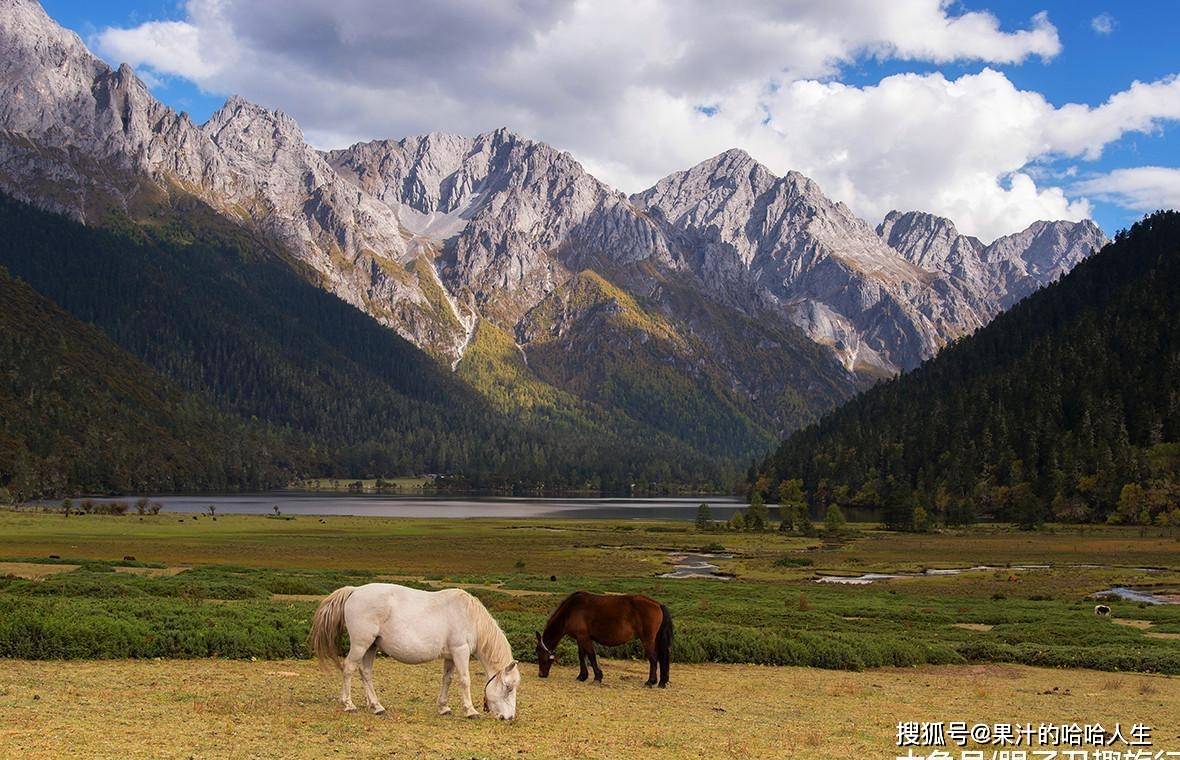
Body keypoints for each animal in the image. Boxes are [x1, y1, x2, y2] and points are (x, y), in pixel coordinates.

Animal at [311, 585, 519, 722]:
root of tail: (355, 591)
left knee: (366, 672)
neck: (468, 615)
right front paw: (470, 710)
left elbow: (447, 679)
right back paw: (348, 704)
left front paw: (443, 707)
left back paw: (376, 706)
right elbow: (464, 680)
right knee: (349, 669)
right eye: (508, 687)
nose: (509, 717)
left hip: (371, 647)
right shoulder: (460, 651)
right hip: (360, 645)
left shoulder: (450, 656)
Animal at [538, 590, 674, 684]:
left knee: (653, 658)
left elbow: (591, 656)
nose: (541, 674)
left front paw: (598, 677)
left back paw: (651, 681)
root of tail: (658, 604)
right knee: (661, 657)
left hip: (647, 640)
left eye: (539, 654)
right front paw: (582, 676)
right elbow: (582, 656)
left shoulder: (584, 637)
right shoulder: (580, 638)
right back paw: (662, 682)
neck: (571, 610)